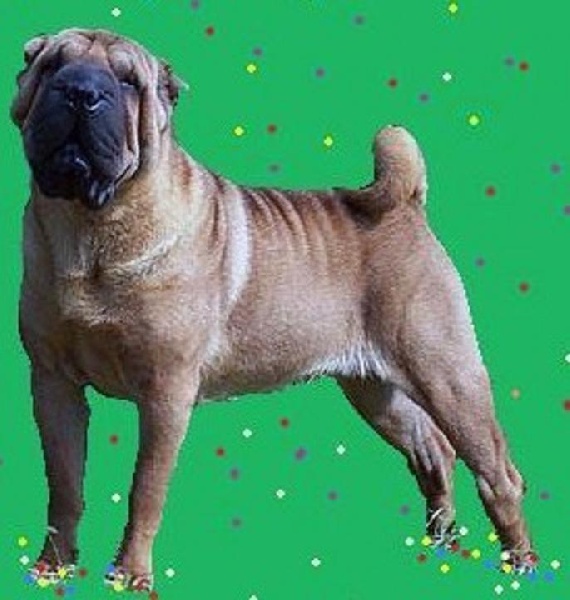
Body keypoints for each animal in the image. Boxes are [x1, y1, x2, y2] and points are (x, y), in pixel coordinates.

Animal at [11, 28, 536, 591]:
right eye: (51, 66)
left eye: (129, 81)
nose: (81, 91)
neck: (91, 229)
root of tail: (405, 204)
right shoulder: (53, 383)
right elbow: (64, 485)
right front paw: (53, 567)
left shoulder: (164, 393)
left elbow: (144, 492)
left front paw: (130, 577)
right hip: (376, 392)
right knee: (433, 449)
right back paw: (438, 544)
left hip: (447, 374)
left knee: (499, 474)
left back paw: (521, 563)